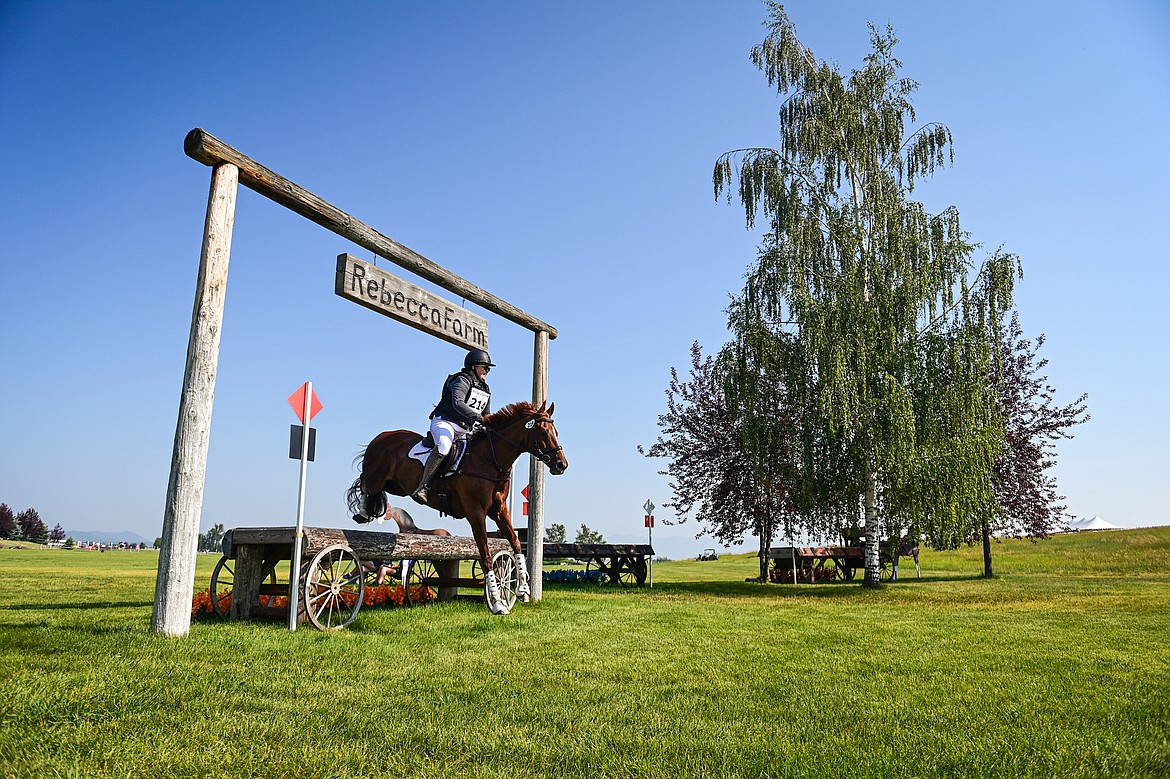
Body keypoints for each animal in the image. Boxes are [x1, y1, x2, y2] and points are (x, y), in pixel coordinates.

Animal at [346, 400, 566, 612]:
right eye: (544, 432)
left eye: (556, 432)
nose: (561, 465)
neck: (490, 460)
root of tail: (382, 436)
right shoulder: (476, 513)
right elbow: (486, 556)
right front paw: (497, 602)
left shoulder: (499, 510)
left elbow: (516, 543)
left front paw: (522, 588)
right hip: (377, 477)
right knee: (365, 483)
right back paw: (363, 513)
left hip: (396, 485)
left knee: (373, 489)